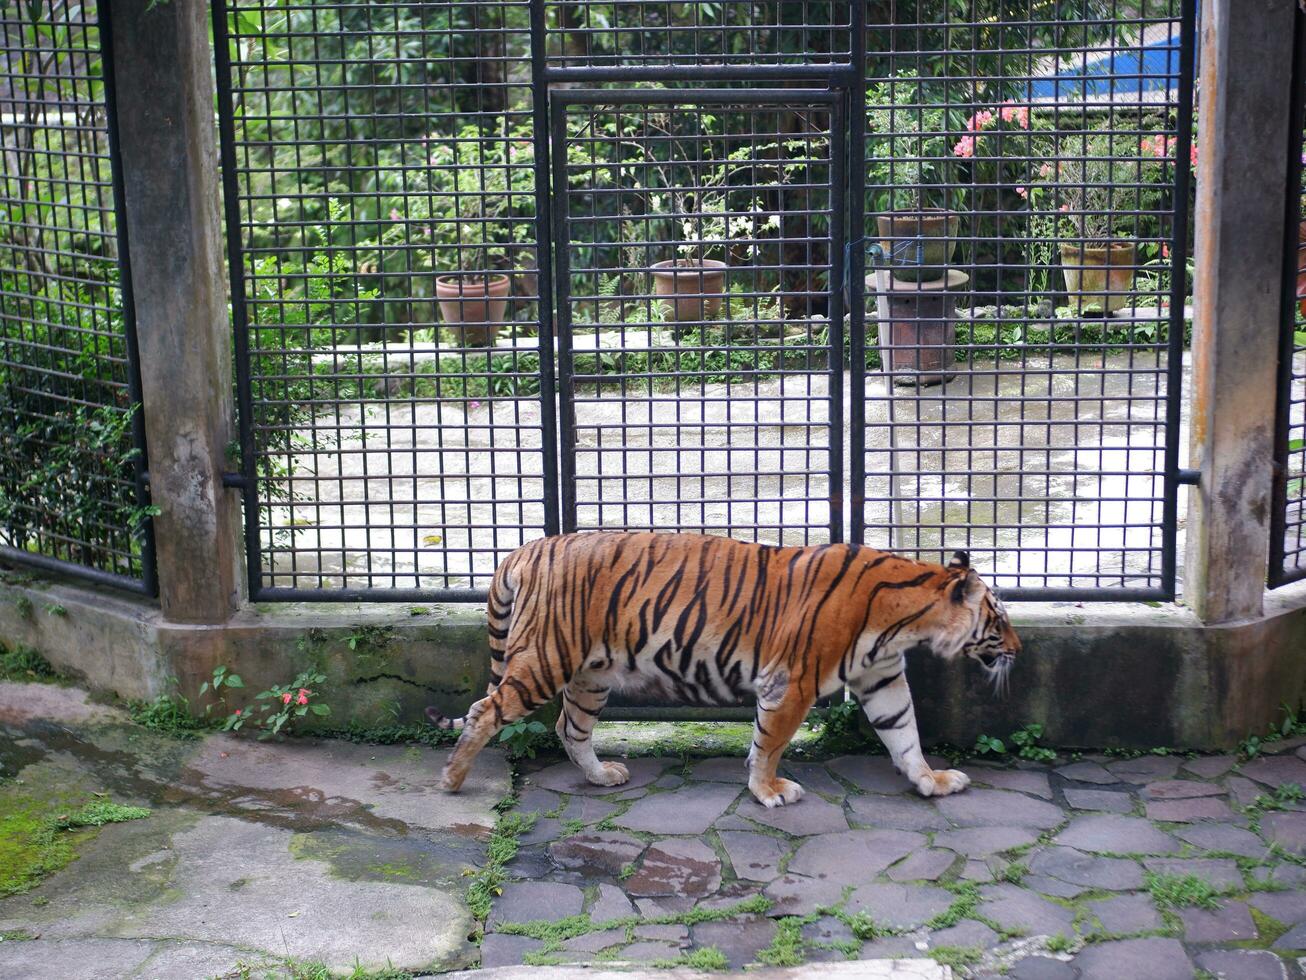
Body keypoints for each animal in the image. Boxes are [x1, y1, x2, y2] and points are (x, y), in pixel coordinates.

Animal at [428, 533, 1018, 810]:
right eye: (1000, 618)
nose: (1018, 648)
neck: (905, 619)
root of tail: (526, 549)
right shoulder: (793, 681)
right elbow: (770, 742)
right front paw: (769, 791)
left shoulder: (883, 678)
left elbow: (905, 734)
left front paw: (931, 781)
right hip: (544, 661)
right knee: (484, 711)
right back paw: (452, 780)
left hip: (590, 675)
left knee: (568, 728)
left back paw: (601, 776)